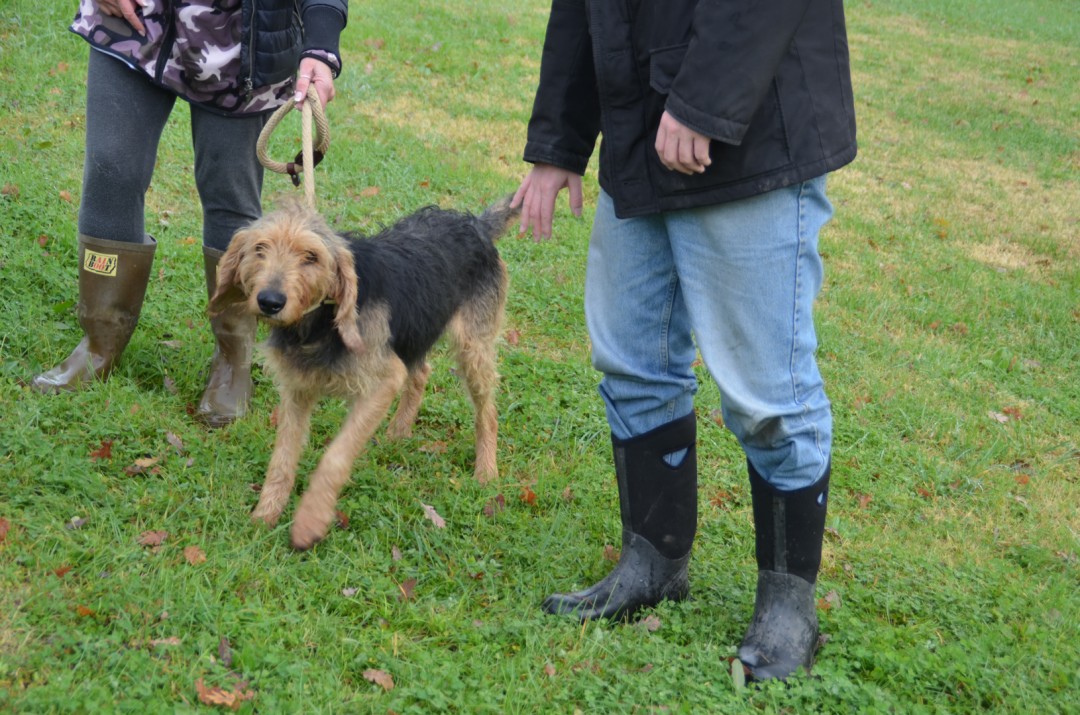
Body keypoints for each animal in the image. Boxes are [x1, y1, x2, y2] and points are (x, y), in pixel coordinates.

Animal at [209, 196, 517, 550]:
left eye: (311, 256)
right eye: (260, 248)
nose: (269, 301)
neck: (320, 321)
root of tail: (475, 224)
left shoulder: (382, 382)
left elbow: (335, 457)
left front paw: (309, 521)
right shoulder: (297, 391)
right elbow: (282, 461)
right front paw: (265, 515)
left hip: (473, 348)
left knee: (487, 412)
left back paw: (486, 470)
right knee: (422, 370)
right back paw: (398, 432)